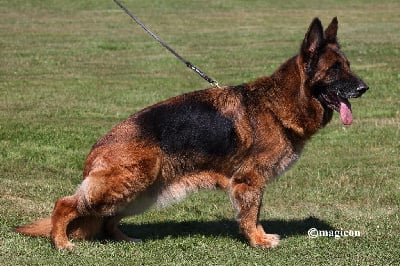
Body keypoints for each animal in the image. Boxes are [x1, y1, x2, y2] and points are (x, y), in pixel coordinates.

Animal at [15, 17, 368, 249]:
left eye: (348, 65)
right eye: (335, 70)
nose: (365, 88)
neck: (276, 104)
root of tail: (97, 148)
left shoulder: (254, 183)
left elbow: (254, 212)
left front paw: (258, 236)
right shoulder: (249, 181)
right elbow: (250, 214)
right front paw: (257, 240)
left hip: (140, 191)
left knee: (107, 220)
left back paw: (125, 238)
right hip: (125, 184)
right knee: (65, 204)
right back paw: (60, 242)